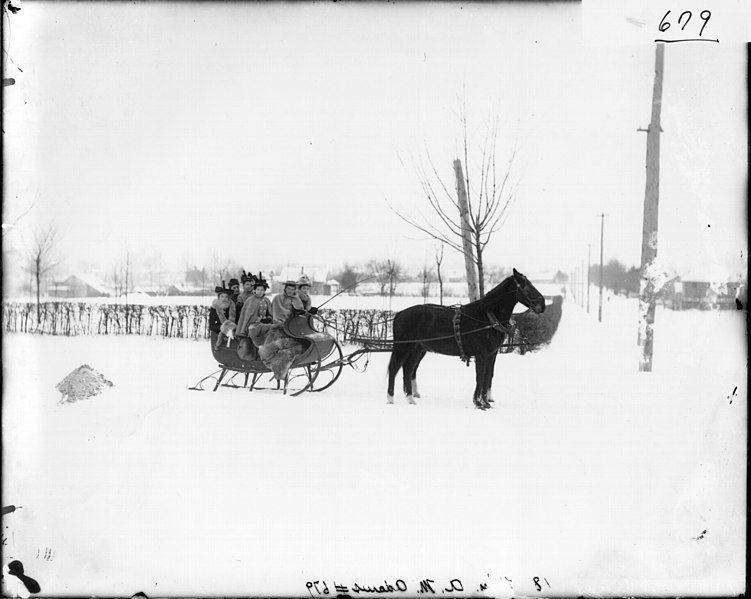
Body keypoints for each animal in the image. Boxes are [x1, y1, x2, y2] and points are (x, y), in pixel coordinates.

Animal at [388, 270, 548, 410]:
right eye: (527, 287)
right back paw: (390, 398)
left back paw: (410, 398)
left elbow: (488, 376)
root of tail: (400, 314)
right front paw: (478, 403)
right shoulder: (482, 355)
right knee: (394, 368)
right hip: (403, 348)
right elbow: (480, 377)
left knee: (408, 369)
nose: (542, 305)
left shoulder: (492, 354)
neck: (487, 317)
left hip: (416, 349)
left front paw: (486, 402)